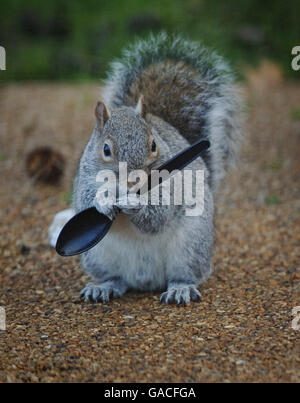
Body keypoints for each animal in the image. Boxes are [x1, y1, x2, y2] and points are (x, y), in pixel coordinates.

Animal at [49, 33, 241, 306]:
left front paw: (135, 203)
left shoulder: (171, 183)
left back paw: (180, 289)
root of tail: (144, 280)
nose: (133, 182)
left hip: (191, 247)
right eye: (106, 149)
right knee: (117, 279)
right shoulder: (85, 177)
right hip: (98, 256)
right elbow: (86, 200)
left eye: (153, 145)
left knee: (184, 274)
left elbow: (159, 213)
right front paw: (105, 201)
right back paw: (103, 287)